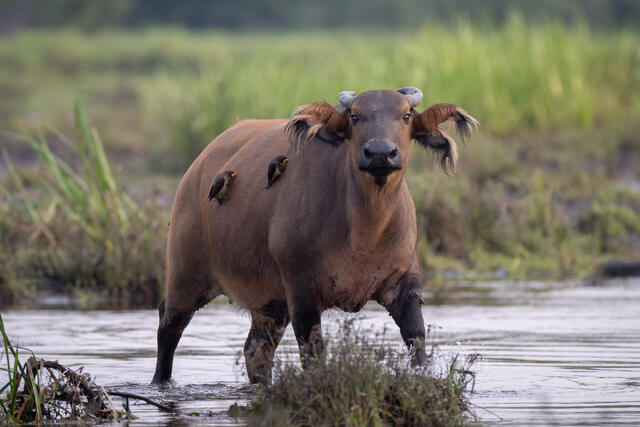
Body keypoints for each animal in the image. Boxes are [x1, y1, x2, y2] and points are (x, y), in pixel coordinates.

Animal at [152, 87, 478, 384]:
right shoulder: (302, 290)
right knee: (169, 327)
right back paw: (159, 382)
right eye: (355, 116)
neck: (364, 234)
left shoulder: (404, 282)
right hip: (185, 274)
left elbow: (417, 337)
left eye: (406, 115)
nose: (380, 153)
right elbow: (313, 351)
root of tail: (196, 168)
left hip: (270, 302)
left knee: (256, 350)